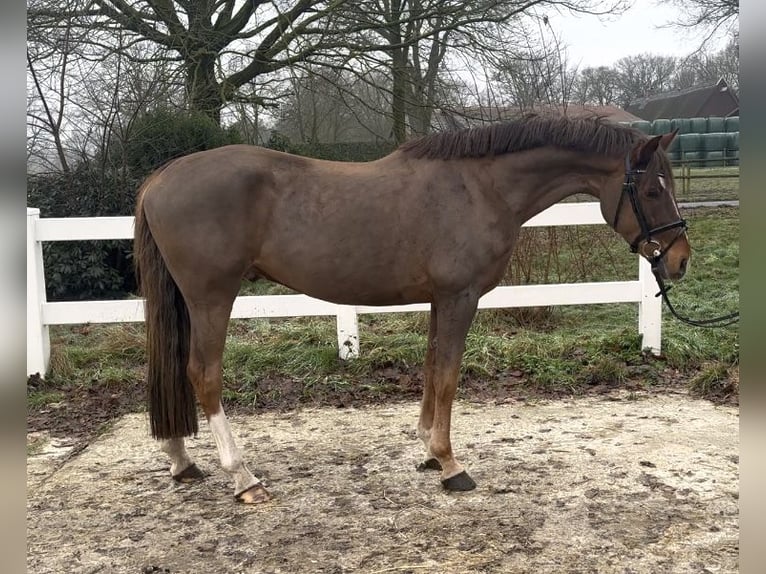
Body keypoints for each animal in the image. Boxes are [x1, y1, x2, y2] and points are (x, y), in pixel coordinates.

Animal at [134, 116, 688, 504]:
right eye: (653, 189)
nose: (679, 260)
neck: (480, 187)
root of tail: (160, 178)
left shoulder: (441, 300)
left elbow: (430, 370)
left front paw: (428, 452)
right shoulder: (460, 298)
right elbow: (448, 376)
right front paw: (450, 464)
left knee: (174, 371)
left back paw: (181, 461)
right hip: (212, 297)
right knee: (203, 374)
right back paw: (244, 478)